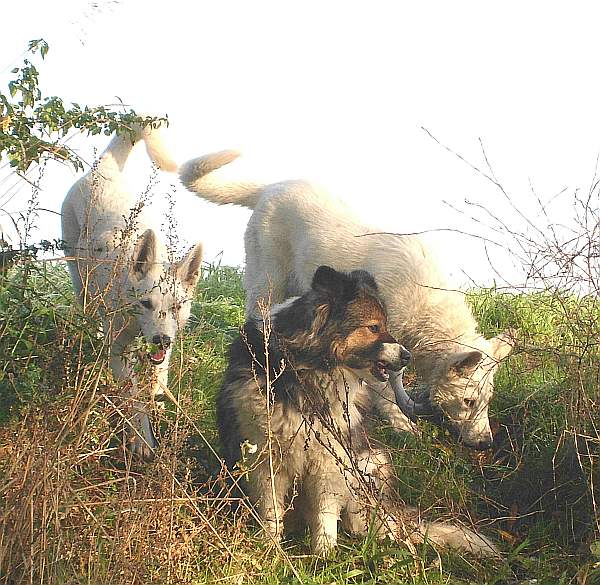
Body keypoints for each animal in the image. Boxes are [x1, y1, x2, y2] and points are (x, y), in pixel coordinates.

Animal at [62, 121, 204, 458]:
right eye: (146, 303)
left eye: (177, 307)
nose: (161, 339)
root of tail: (104, 167)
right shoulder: (119, 350)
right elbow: (132, 394)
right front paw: (142, 440)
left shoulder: (166, 342)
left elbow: (156, 376)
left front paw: (157, 391)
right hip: (78, 278)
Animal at [216, 266, 496, 556]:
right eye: (373, 327)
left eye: (385, 325)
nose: (407, 356)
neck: (306, 370)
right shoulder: (265, 459)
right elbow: (271, 510)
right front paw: (270, 547)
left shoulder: (329, 460)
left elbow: (325, 512)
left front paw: (324, 553)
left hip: (370, 465)